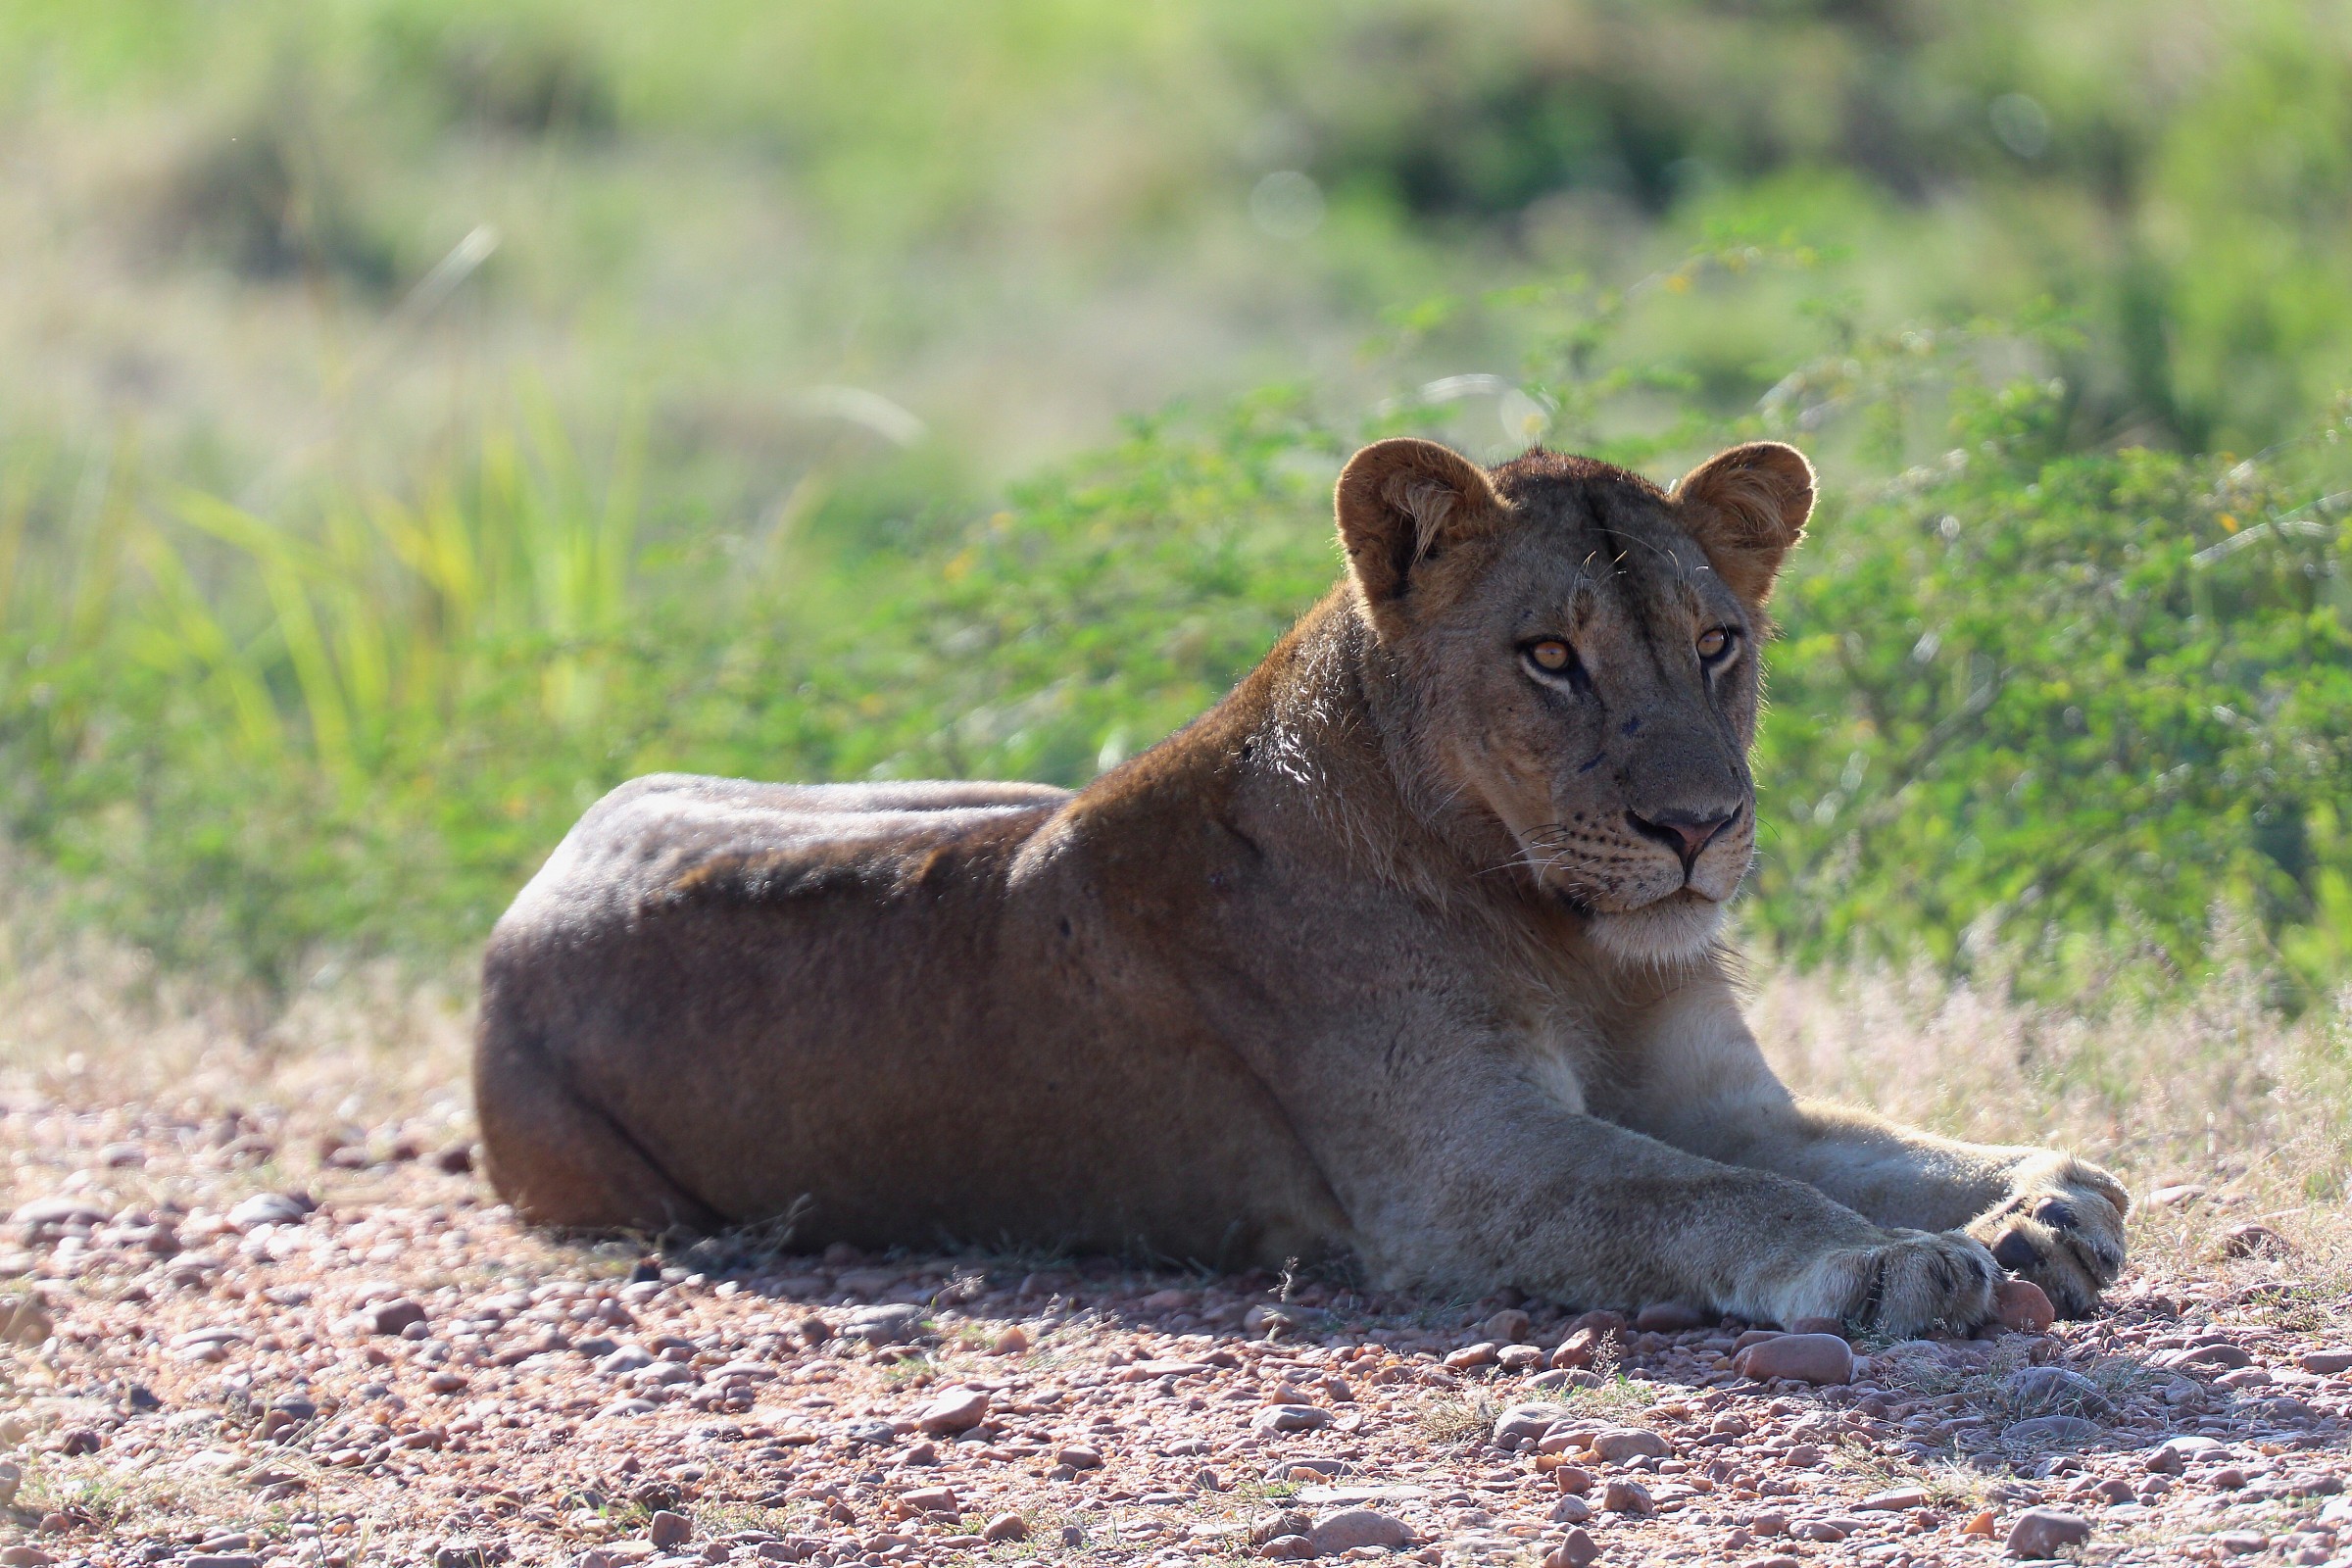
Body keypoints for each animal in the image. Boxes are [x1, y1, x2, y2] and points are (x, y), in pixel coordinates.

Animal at [474, 436, 2127, 1333]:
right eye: (1551, 655)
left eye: (1716, 641)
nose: (1698, 827)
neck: (1574, 939)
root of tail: (547, 867)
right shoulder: (1462, 1173)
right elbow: (1708, 1194)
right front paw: (1886, 1264)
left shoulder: (1718, 1094)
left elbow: (1865, 1142)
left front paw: (2043, 1199)